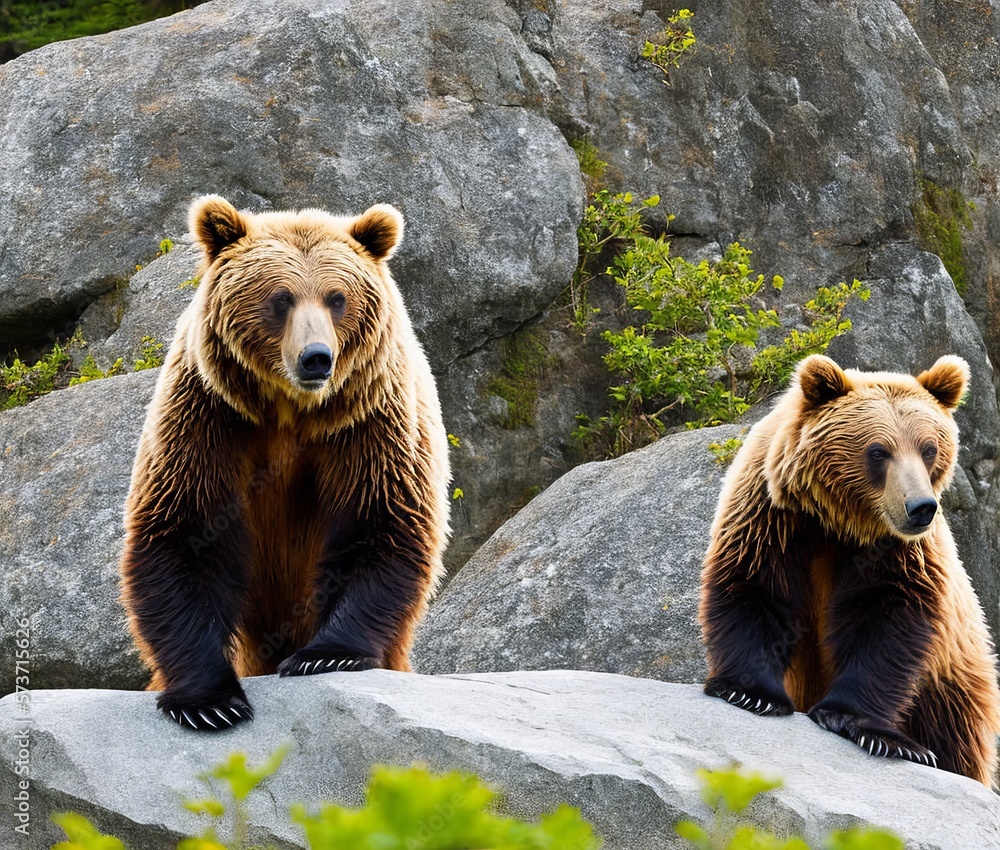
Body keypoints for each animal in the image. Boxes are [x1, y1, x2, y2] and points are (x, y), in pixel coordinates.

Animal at [120, 195, 450, 731]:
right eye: (280, 298)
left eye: (337, 298)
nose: (316, 358)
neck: (292, 409)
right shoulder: (209, 416)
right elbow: (185, 529)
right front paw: (208, 701)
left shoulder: (369, 421)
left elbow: (381, 521)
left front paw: (326, 654)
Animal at [699, 353, 1000, 786]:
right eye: (878, 451)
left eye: (928, 448)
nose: (921, 507)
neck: (843, 522)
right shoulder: (772, 517)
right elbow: (755, 586)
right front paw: (749, 692)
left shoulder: (901, 554)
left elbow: (888, 622)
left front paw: (877, 734)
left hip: (950, 688)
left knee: (954, 741)